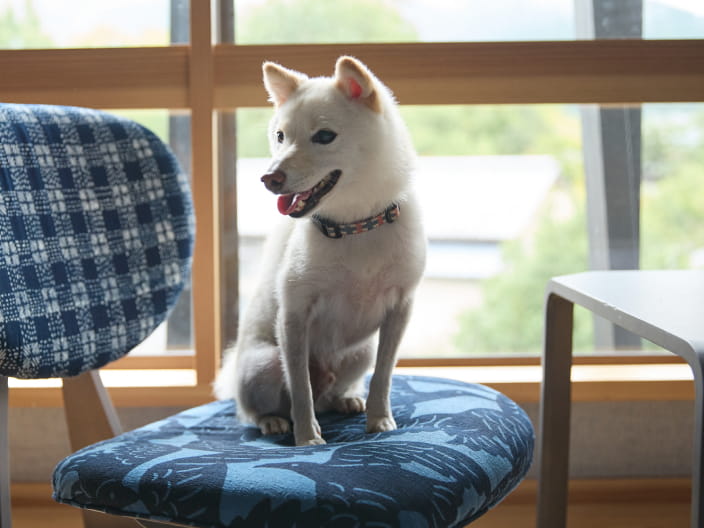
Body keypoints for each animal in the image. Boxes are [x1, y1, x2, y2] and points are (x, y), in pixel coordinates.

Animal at [213, 56, 424, 446]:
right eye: (280, 136)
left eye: (324, 136)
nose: (269, 178)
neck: (355, 225)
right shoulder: (295, 315)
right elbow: (300, 387)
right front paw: (307, 437)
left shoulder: (400, 309)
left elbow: (384, 374)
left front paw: (379, 419)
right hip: (261, 365)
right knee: (251, 408)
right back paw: (272, 420)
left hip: (359, 353)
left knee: (328, 393)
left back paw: (345, 399)